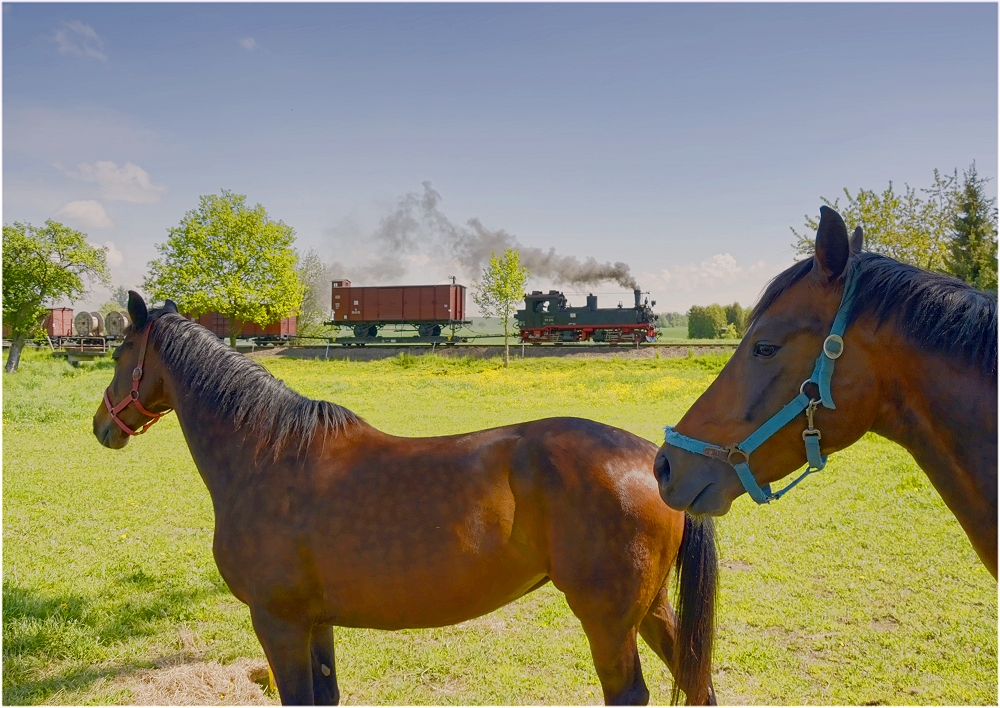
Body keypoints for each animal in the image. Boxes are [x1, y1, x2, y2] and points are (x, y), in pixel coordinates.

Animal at [94, 290, 720, 704]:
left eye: (120, 351)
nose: (102, 425)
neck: (267, 454)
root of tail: (652, 458)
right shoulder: (315, 624)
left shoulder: (278, 622)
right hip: (651, 609)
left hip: (608, 621)